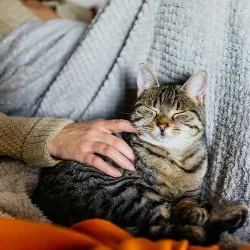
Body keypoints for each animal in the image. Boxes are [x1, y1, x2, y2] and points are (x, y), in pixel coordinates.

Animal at [31, 64, 248, 244]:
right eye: (152, 110)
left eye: (178, 113)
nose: (162, 125)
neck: (176, 157)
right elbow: (179, 211)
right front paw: (197, 213)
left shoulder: (190, 192)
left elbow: (187, 202)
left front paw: (194, 208)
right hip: (130, 190)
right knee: (167, 226)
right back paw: (224, 217)